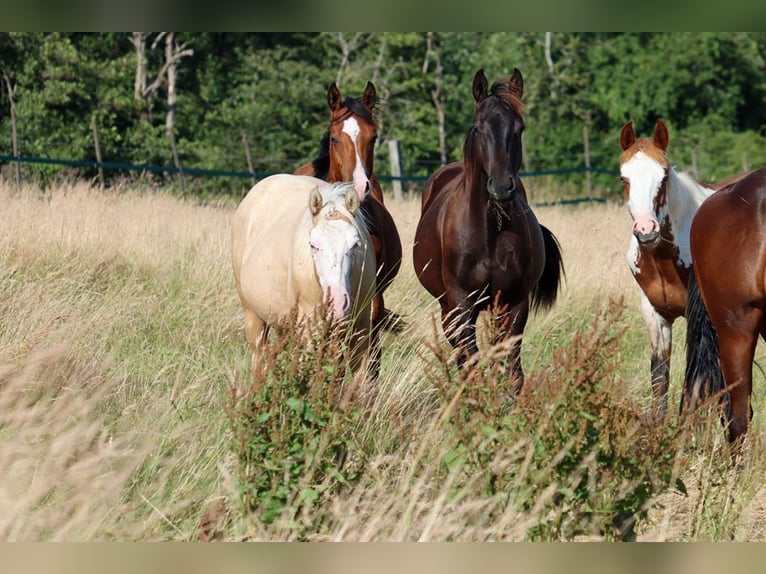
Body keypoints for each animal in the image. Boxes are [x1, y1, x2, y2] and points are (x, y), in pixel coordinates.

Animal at [231, 173, 377, 375]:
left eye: (355, 244)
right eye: (313, 245)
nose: (337, 303)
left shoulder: (360, 329)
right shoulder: (309, 331)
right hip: (253, 317)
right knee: (259, 360)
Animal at [412, 68, 564, 393]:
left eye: (519, 128)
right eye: (478, 128)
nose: (501, 187)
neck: (488, 235)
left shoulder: (514, 301)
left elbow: (511, 370)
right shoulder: (461, 303)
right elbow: (471, 365)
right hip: (448, 307)